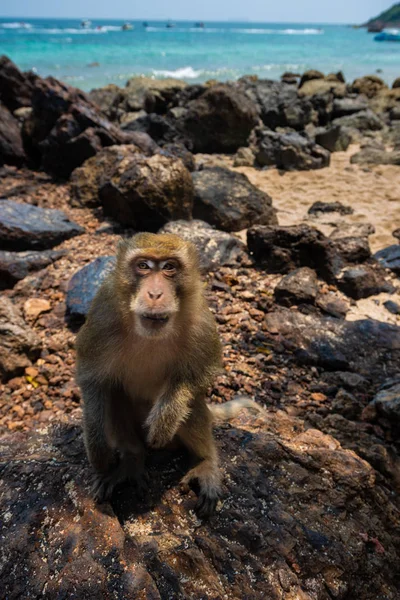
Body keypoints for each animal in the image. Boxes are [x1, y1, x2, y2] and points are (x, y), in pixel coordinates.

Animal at [76, 232, 262, 516]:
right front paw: (98, 451)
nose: (155, 293)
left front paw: (166, 418)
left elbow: (199, 375)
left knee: (193, 406)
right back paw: (132, 460)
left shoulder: (201, 322)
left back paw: (205, 460)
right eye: (143, 266)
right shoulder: (103, 316)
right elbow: (93, 379)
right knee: (115, 396)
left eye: (169, 267)